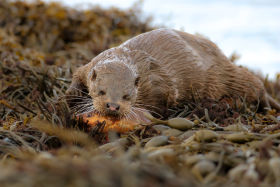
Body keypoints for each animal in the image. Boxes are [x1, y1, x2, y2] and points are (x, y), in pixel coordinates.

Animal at [66, 28, 280, 119]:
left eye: (127, 96)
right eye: (101, 91)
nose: (112, 106)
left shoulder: (160, 84)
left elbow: (163, 102)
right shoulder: (90, 64)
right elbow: (77, 74)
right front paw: (71, 95)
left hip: (226, 75)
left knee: (255, 84)